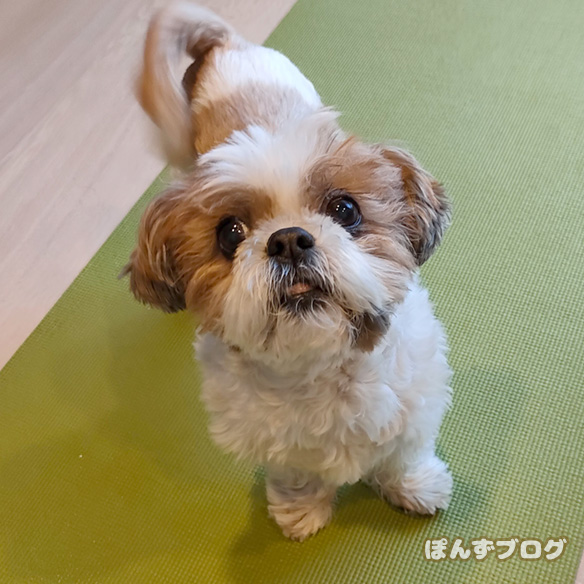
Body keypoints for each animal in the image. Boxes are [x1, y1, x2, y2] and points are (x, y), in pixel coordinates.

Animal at [126, 2, 453, 541]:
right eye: (230, 233)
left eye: (345, 209)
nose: (288, 239)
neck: (320, 371)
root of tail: (223, 45)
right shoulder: (272, 439)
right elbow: (299, 472)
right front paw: (301, 510)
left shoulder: (415, 399)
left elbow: (402, 453)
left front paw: (413, 486)